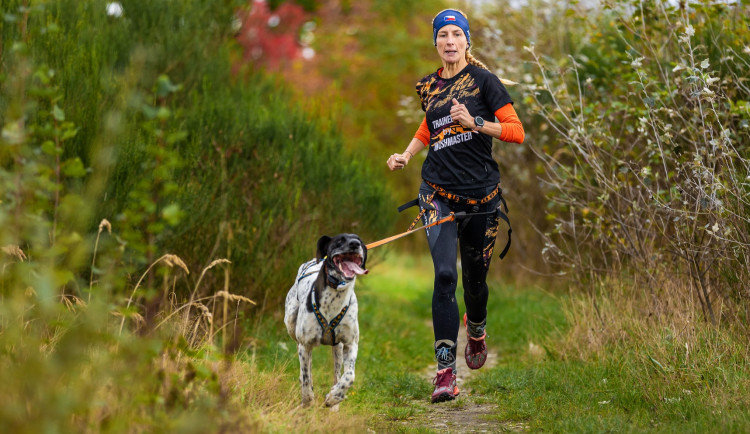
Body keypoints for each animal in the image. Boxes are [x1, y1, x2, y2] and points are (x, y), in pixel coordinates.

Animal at [284, 234, 370, 406]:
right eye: (340, 240)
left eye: (360, 241)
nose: (355, 244)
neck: (335, 297)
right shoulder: (305, 344)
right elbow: (306, 377)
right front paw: (307, 400)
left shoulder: (351, 343)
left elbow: (349, 376)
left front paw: (334, 397)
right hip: (291, 323)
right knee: (306, 366)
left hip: (338, 348)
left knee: (337, 373)